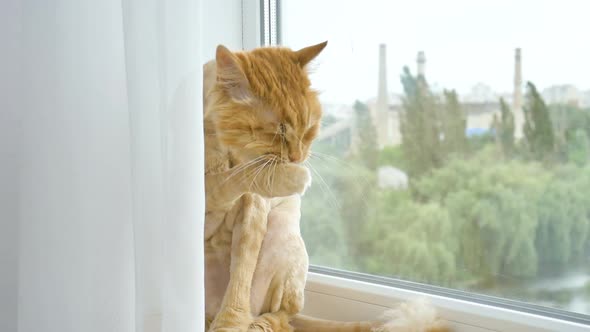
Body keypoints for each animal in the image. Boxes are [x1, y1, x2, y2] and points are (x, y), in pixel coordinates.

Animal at [204, 42, 448, 332]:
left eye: (308, 129)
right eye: (279, 131)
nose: (297, 158)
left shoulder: (253, 210)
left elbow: (240, 276)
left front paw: (231, 325)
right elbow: (231, 179)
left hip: (283, 238)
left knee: (281, 315)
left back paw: (255, 324)